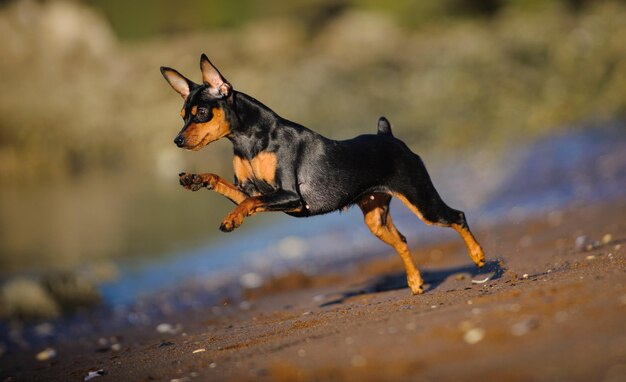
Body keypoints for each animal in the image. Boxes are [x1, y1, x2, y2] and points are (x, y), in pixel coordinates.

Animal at [160, 53, 482, 294]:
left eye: (202, 113)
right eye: (183, 116)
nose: (177, 140)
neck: (249, 141)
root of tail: (388, 136)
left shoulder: (290, 197)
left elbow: (249, 203)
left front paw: (231, 219)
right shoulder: (254, 192)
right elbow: (230, 189)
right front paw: (196, 179)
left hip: (423, 202)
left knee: (457, 216)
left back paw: (479, 257)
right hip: (375, 219)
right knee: (402, 240)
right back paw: (415, 282)